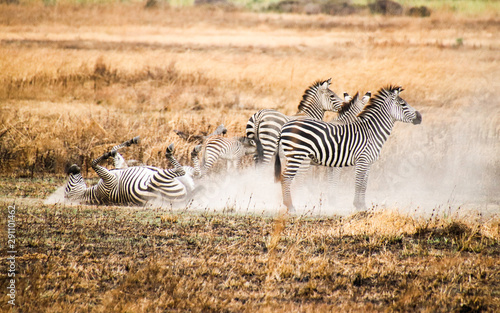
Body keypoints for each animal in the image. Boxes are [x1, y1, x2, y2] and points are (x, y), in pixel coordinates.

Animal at [64, 138, 201, 206]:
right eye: (68, 187)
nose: (72, 168)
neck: (95, 193)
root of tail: (188, 196)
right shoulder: (109, 179)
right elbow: (93, 162)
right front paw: (108, 154)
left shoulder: (119, 168)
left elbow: (114, 151)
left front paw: (127, 143)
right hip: (157, 179)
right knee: (182, 170)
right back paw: (171, 151)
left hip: (185, 176)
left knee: (196, 173)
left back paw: (195, 151)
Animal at [274, 85, 422, 212]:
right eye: (403, 104)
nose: (420, 117)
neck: (372, 131)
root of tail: (284, 127)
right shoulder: (361, 160)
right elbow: (358, 183)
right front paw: (358, 206)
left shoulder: (367, 163)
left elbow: (364, 185)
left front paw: (363, 206)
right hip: (297, 155)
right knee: (286, 177)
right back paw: (290, 206)